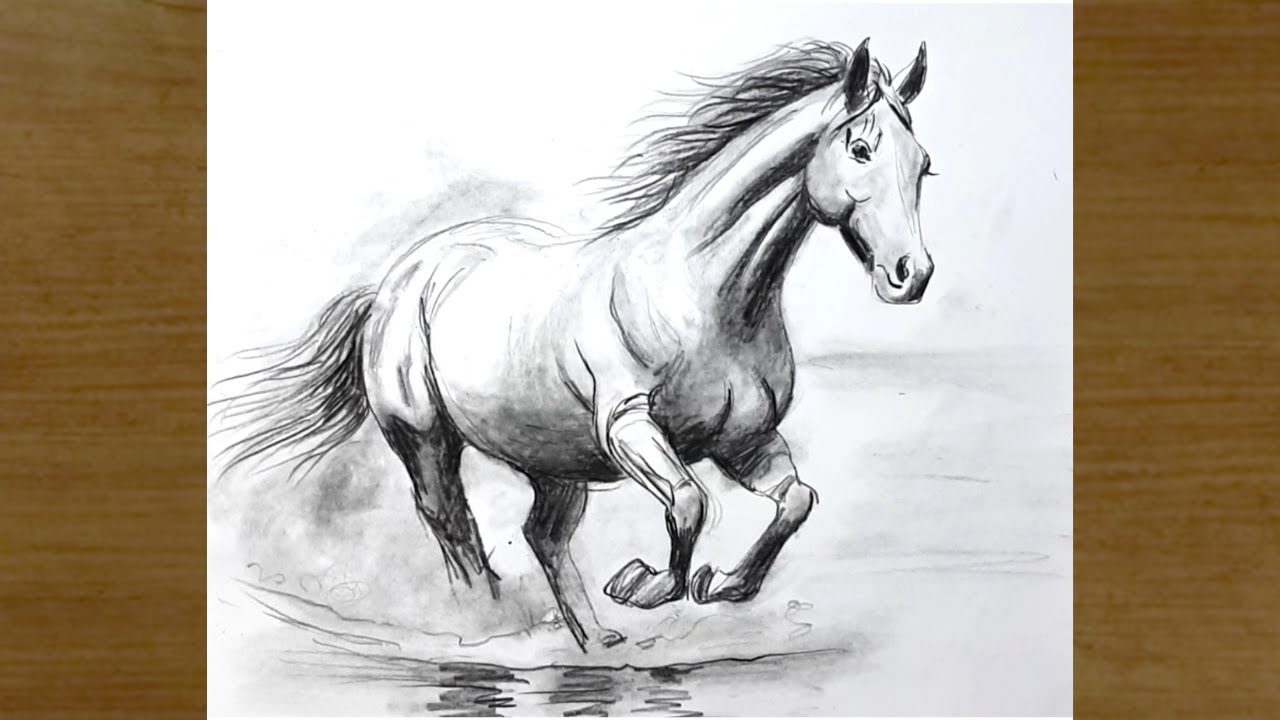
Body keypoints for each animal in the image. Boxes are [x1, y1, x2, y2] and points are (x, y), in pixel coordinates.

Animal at [212, 38, 935, 652]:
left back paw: (596, 641)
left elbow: (794, 502)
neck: (701, 295)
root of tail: (395, 283)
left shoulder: (744, 441)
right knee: (452, 523)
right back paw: (487, 620)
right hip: (424, 438)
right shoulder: (628, 428)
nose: (911, 274)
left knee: (543, 537)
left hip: (554, 462)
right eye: (861, 149)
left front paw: (722, 584)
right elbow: (689, 503)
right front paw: (645, 585)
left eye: (923, 165)